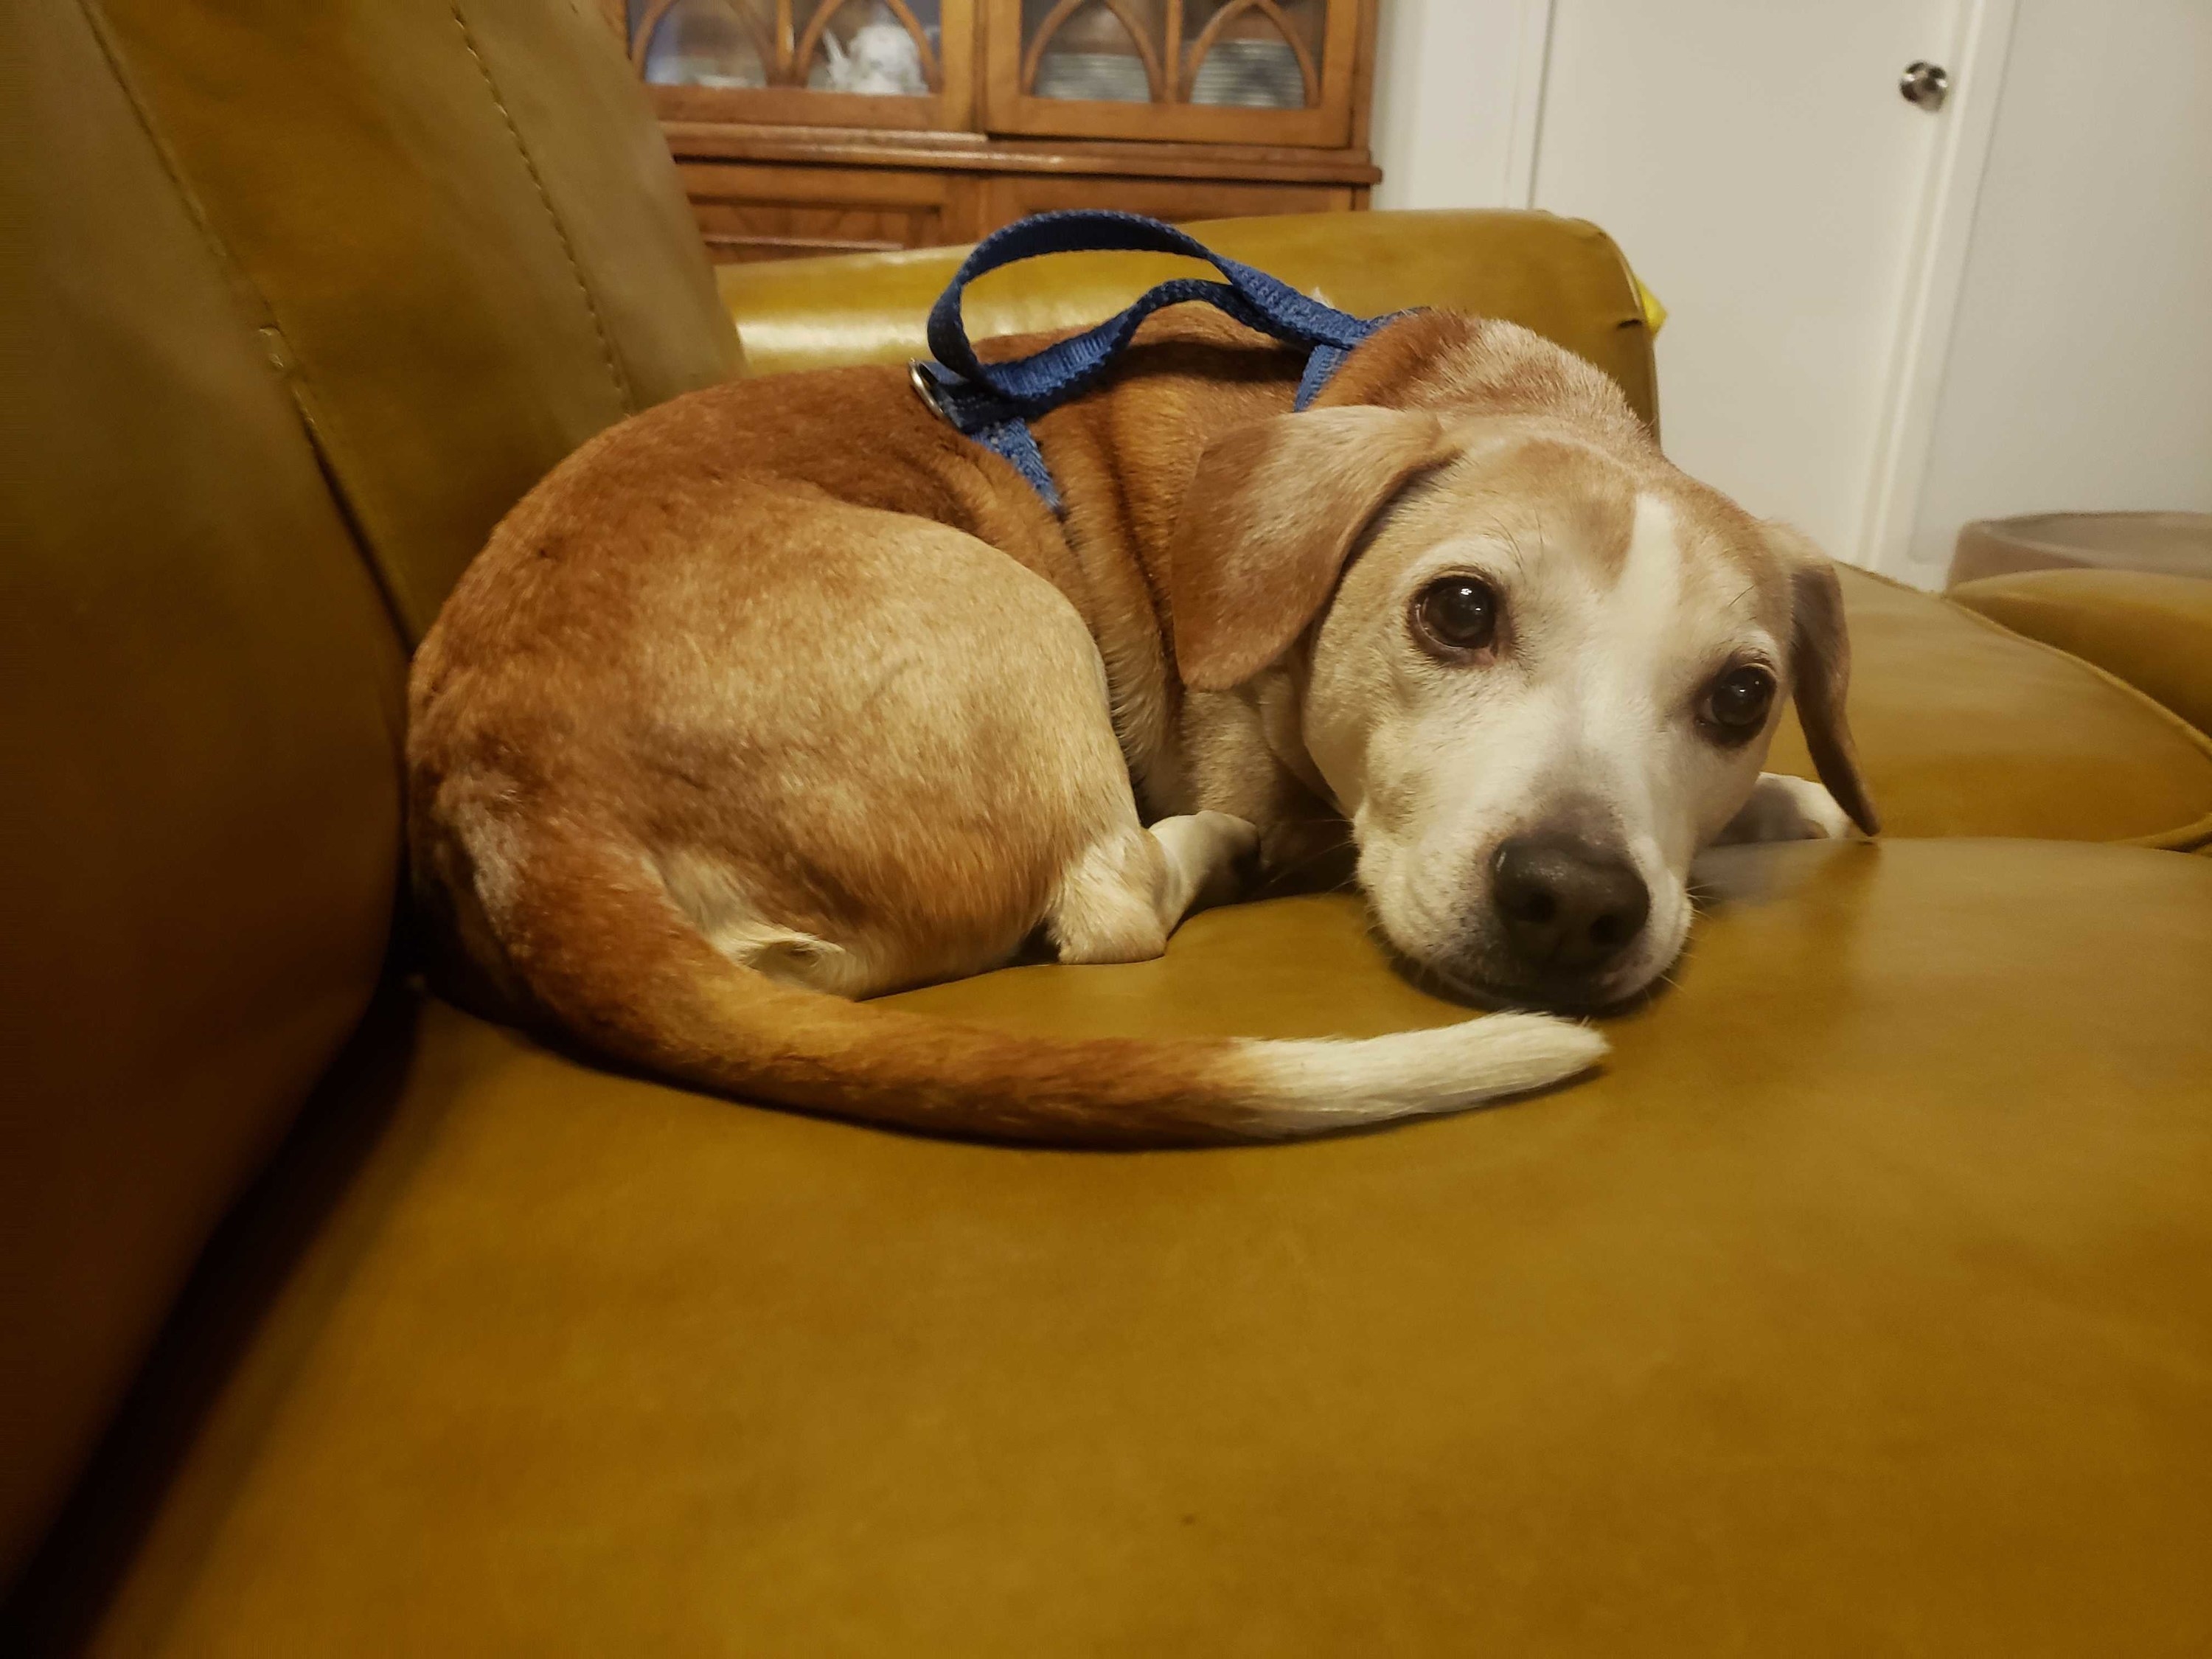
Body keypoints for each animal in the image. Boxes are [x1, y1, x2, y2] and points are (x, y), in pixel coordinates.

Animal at [407, 283, 1876, 1159]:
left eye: (1743, 697)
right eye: (1458, 610)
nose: (1574, 901)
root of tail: (518, 793)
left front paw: (1793, 803)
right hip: (1017, 614)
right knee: (1107, 903)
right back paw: (1210, 854)